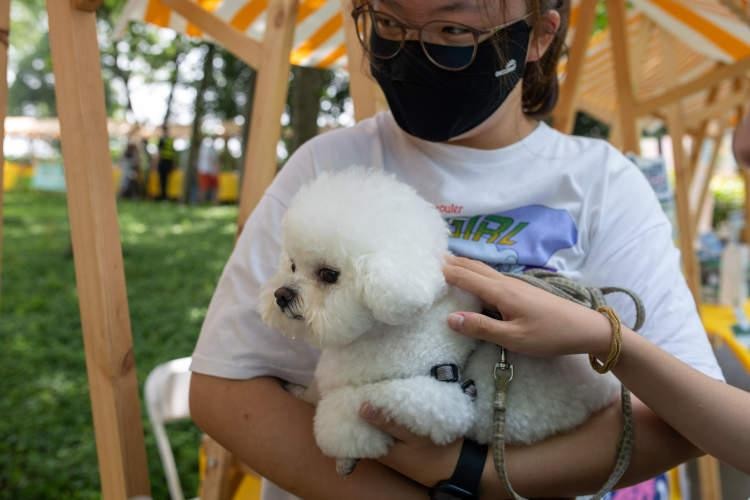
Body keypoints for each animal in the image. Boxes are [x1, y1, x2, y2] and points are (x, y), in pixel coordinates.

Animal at [262, 167, 620, 472]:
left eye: (328, 274)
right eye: (292, 265)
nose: (281, 295)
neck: (379, 334)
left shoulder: (438, 400)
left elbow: (345, 406)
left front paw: (345, 447)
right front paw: (300, 392)